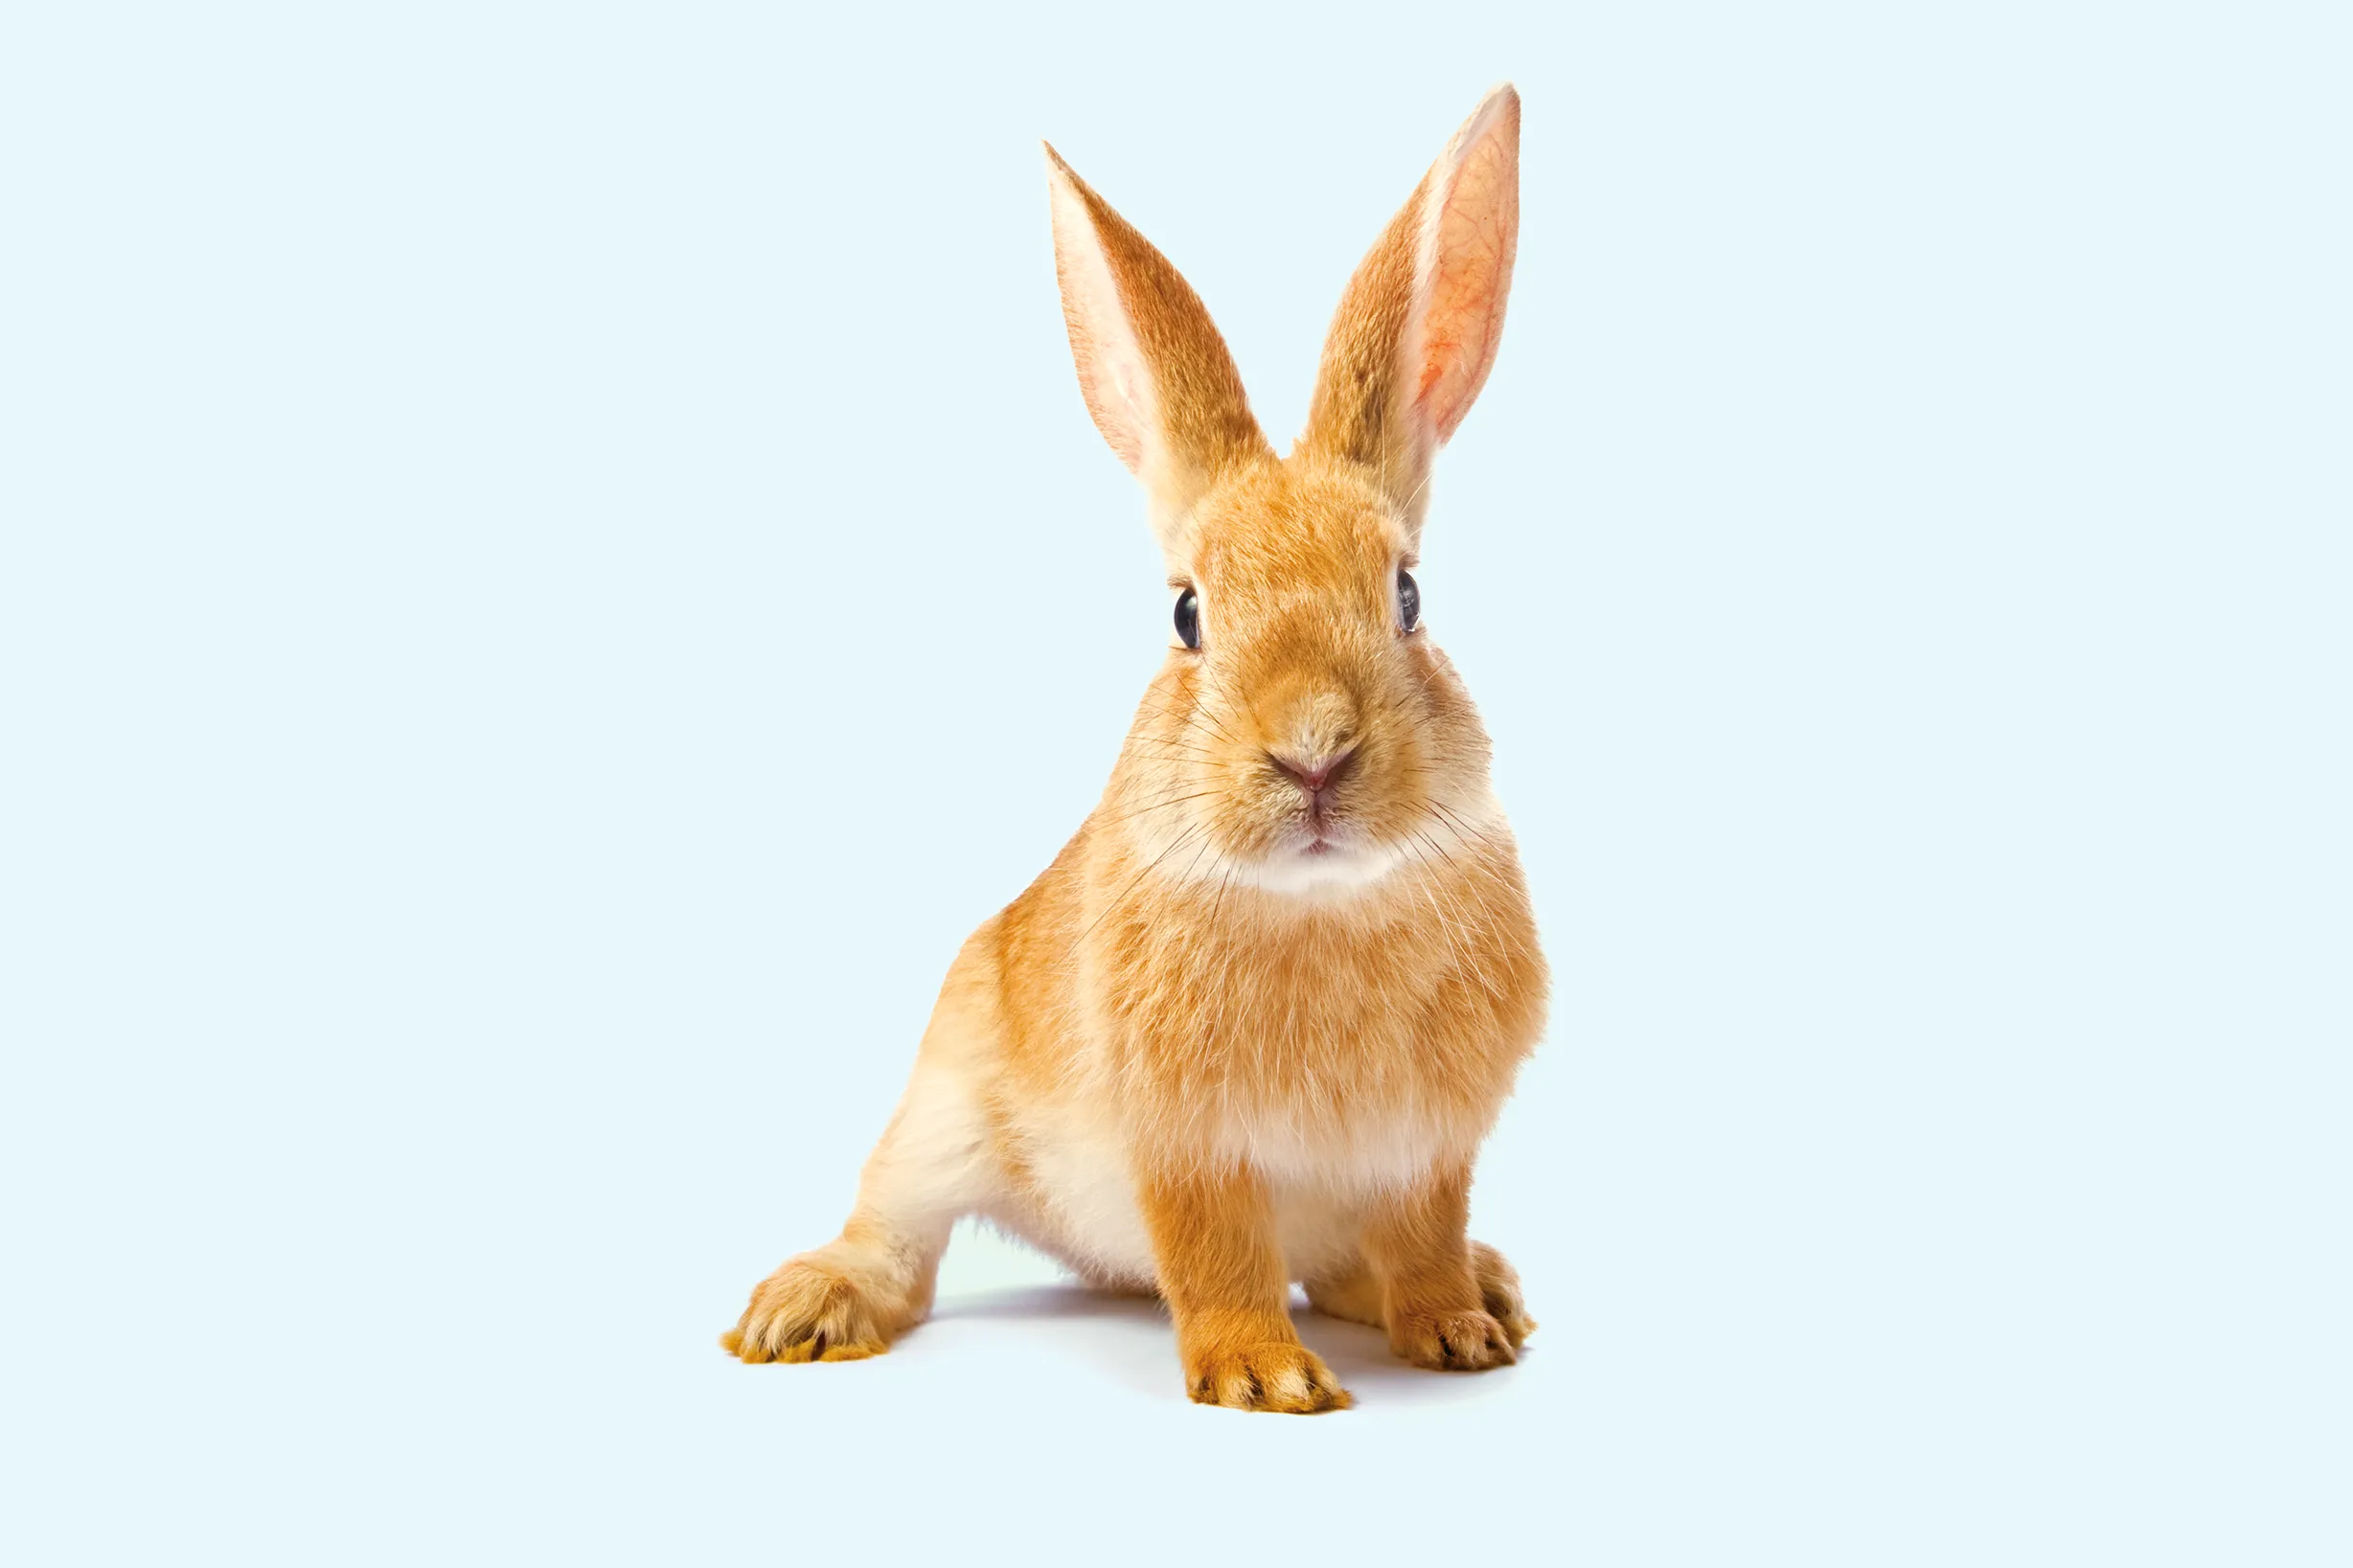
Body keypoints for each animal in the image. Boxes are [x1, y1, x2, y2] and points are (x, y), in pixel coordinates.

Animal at [722, 84, 1547, 1413]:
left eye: (1409, 595)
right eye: (1187, 615)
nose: (1312, 753)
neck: (1319, 905)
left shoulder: (1428, 1150)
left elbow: (1421, 1238)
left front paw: (1454, 1334)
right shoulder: (1187, 1148)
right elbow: (1214, 1258)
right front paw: (1263, 1376)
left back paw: (1490, 1287)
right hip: (940, 1108)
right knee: (895, 1238)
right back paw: (802, 1310)